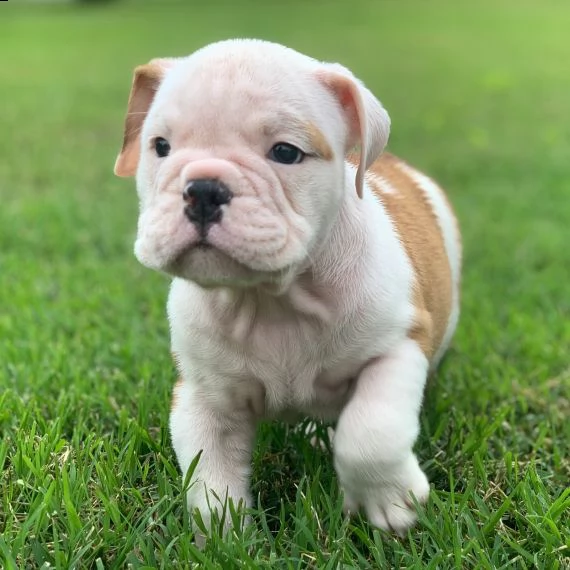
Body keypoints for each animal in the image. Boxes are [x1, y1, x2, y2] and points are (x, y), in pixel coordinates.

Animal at [113, 37, 460, 536]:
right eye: (160, 146)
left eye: (286, 153)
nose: (203, 188)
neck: (271, 297)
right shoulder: (203, 397)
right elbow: (209, 479)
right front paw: (226, 539)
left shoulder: (397, 347)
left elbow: (370, 434)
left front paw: (391, 504)